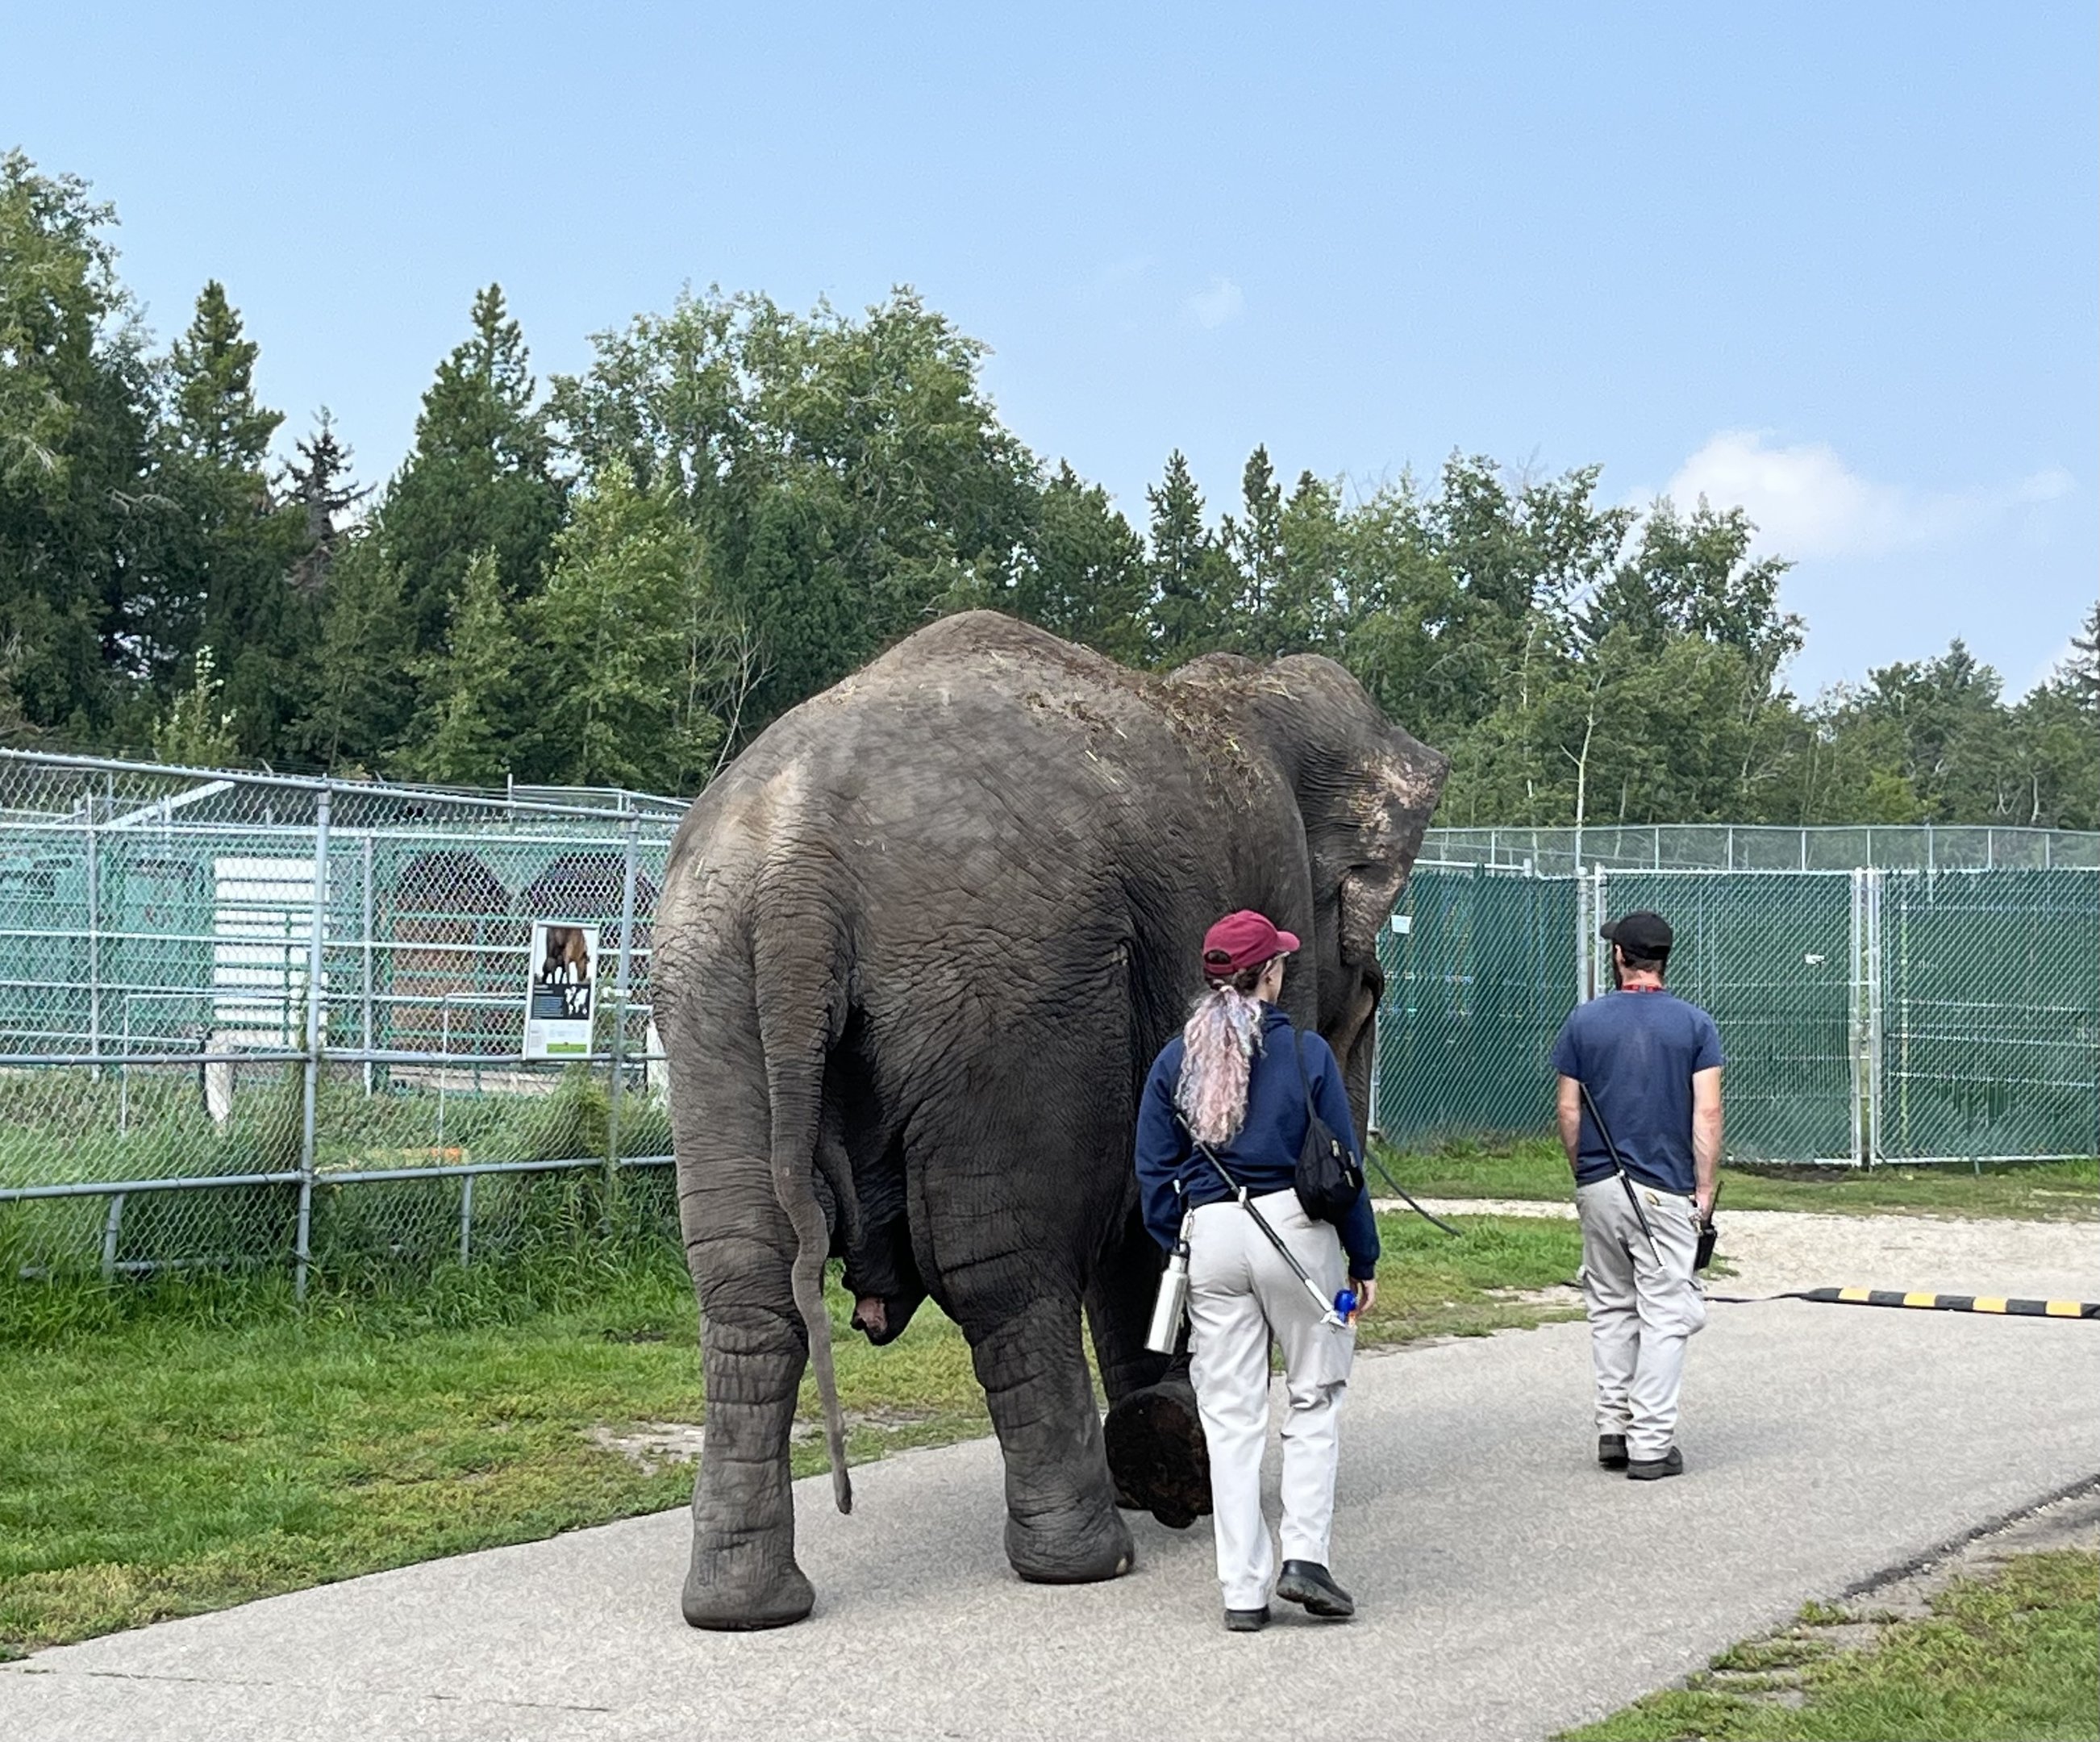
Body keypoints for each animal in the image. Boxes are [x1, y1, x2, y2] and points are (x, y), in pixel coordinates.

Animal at [652, 610, 1446, 1629]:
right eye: (1374, 988)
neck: (1235, 692)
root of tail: (798, 868)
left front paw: (1165, 1454)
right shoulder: (1264, 882)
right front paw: (1172, 1456)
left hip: (716, 990)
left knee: (745, 1276)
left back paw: (743, 1608)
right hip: (998, 996)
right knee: (998, 1264)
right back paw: (1087, 1559)